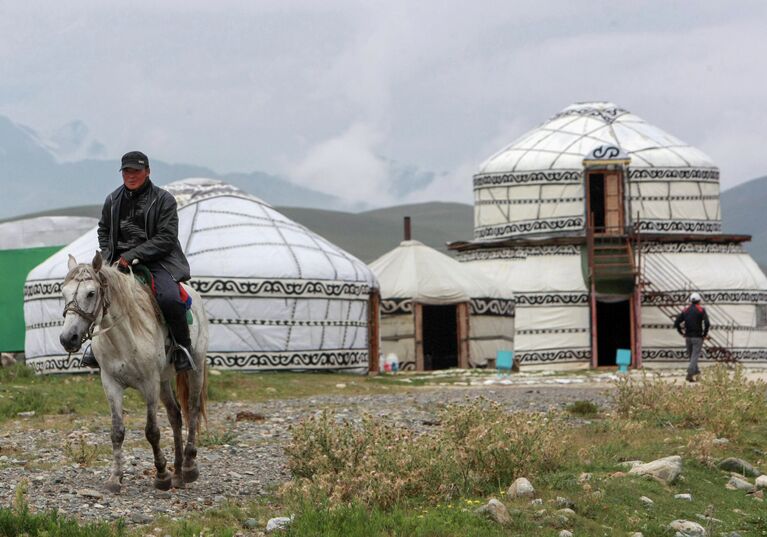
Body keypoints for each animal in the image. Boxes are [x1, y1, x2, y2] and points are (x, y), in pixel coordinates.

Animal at [59, 251, 208, 494]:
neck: (124, 336)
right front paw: (115, 478)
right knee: (175, 416)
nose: (67, 338)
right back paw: (177, 473)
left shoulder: (150, 383)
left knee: (193, 411)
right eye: (64, 293)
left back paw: (188, 467)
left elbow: (152, 431)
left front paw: (161, 475)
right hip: (164, 380)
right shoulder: (111, 384)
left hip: (196, 368)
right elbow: (117, 432)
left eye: (91, 293)